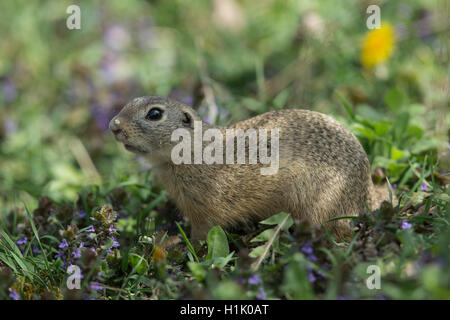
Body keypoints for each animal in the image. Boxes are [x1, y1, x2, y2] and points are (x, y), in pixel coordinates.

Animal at [108, 96, 390, 239]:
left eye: (154, 114)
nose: (113, 126)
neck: (192, 149)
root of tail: (364, 198)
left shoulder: (204, 211)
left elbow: (202, 235)